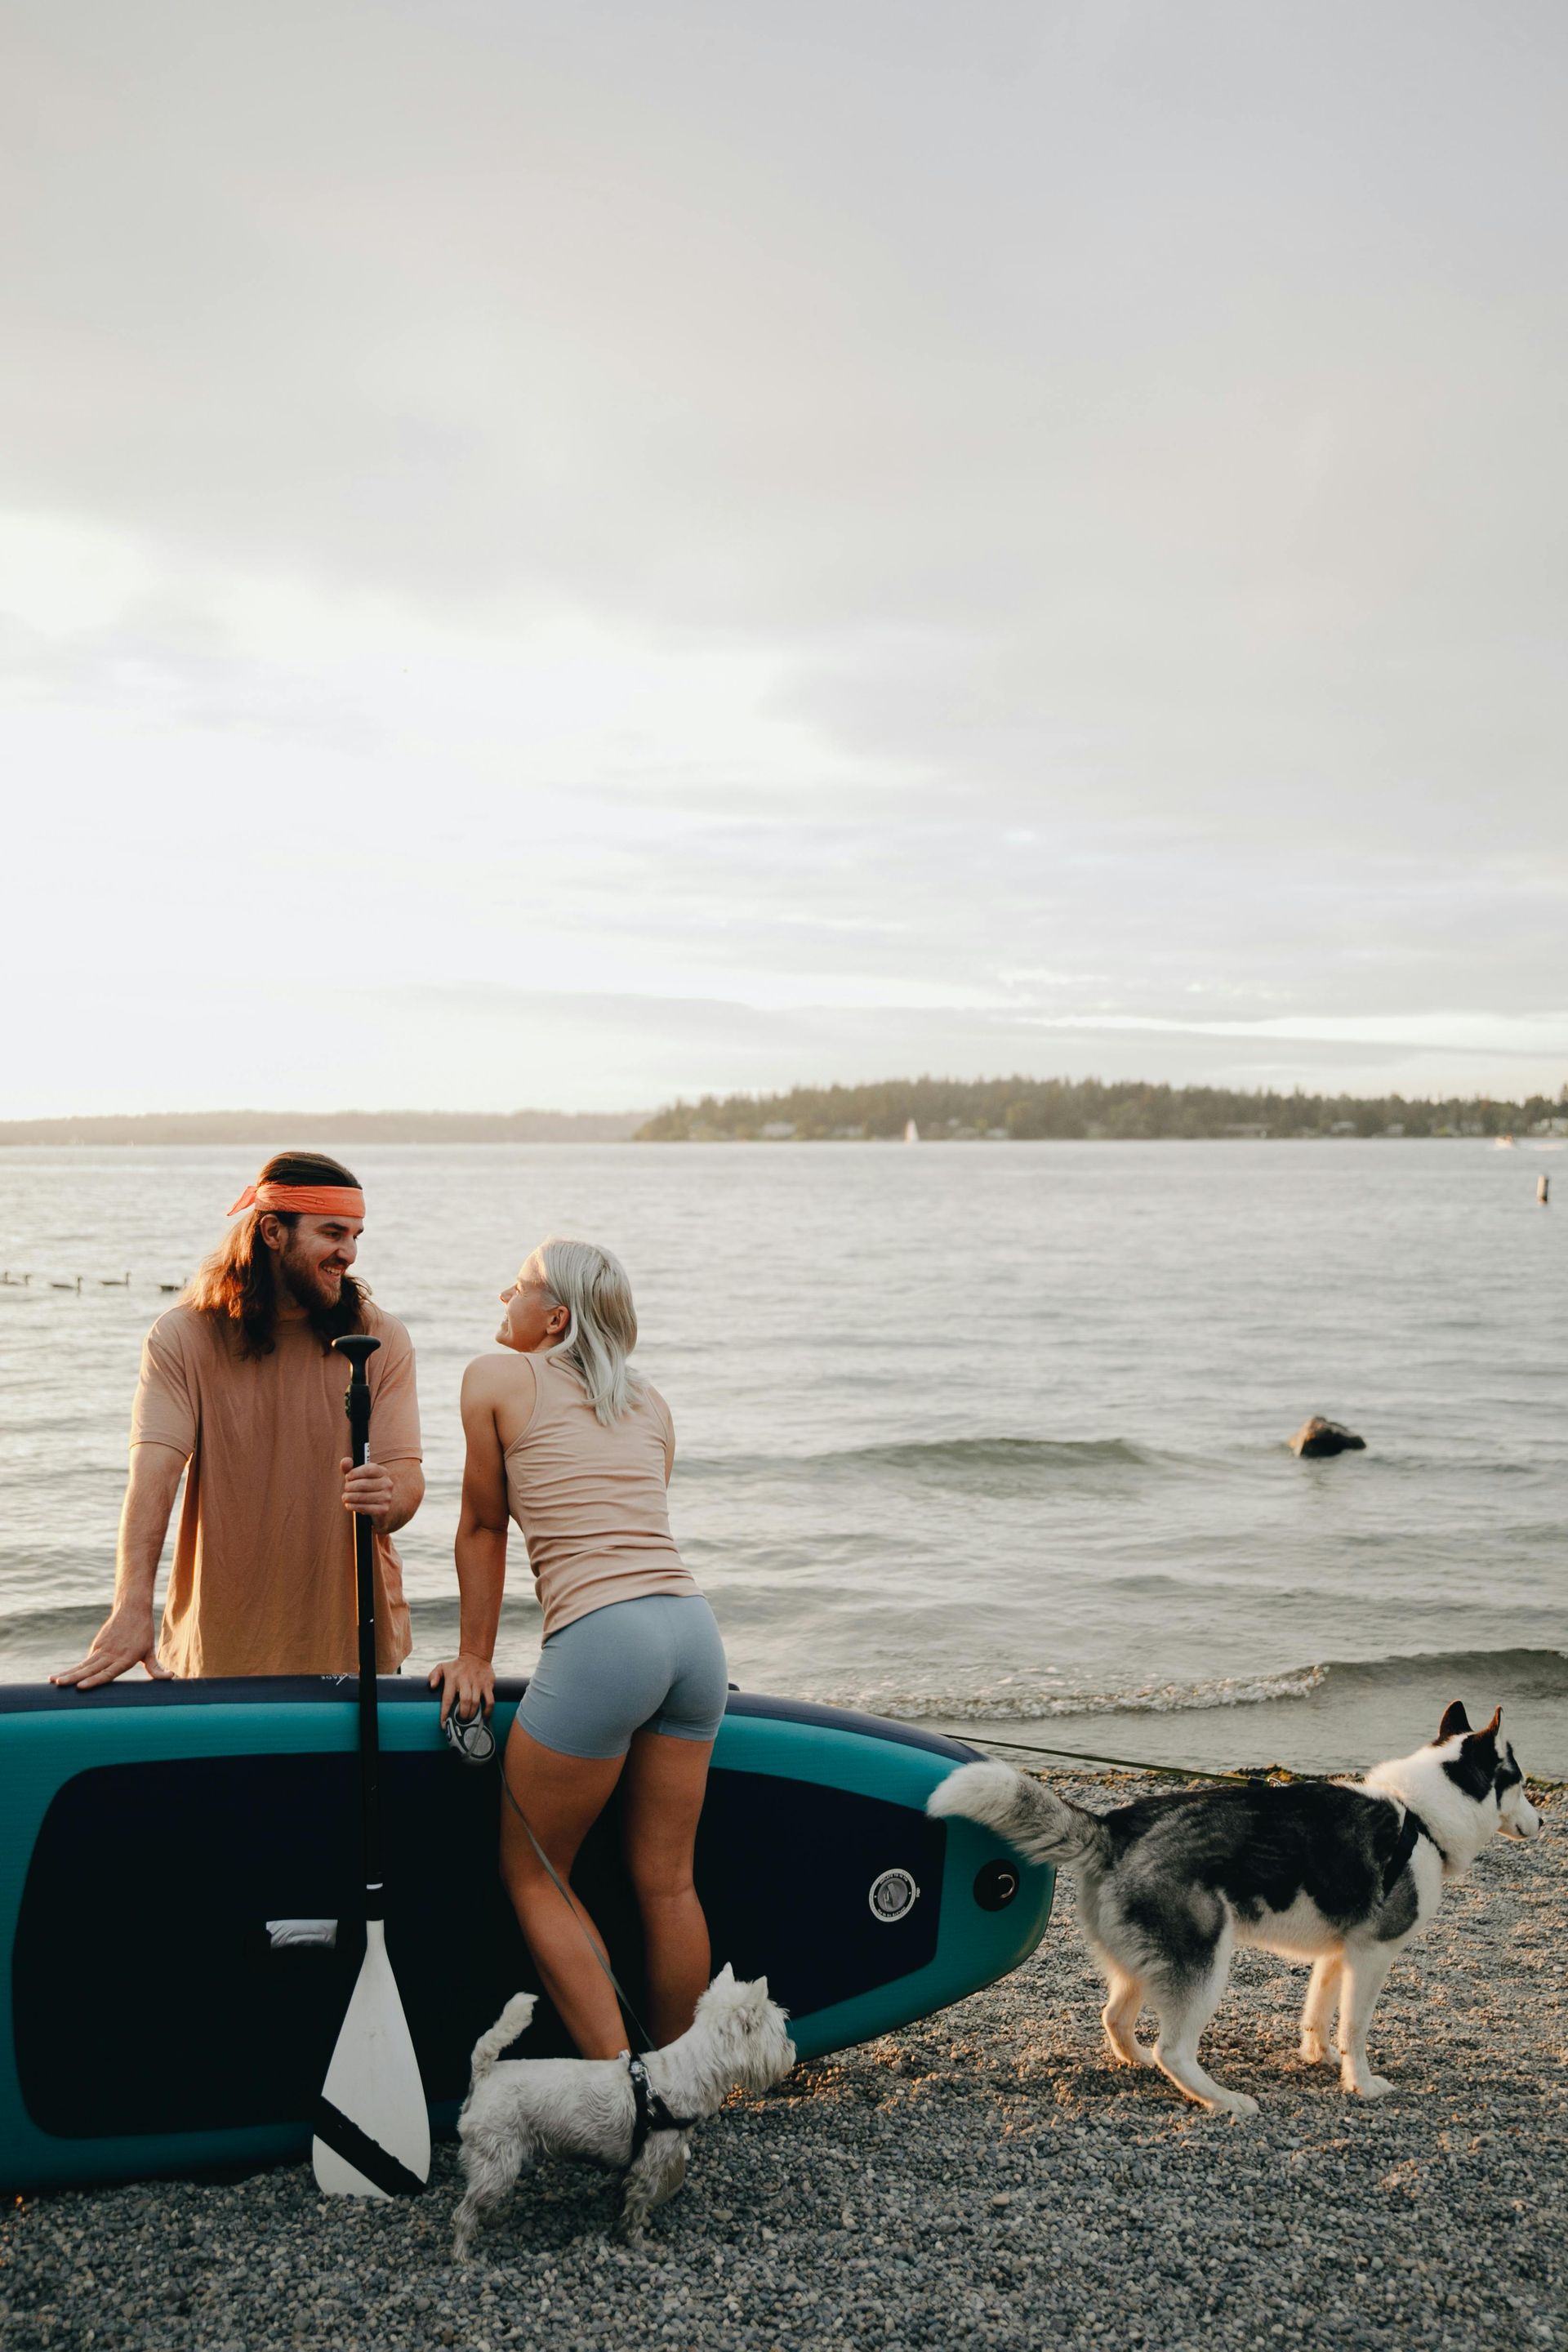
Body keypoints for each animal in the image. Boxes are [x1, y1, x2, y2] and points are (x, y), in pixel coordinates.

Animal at [453, 1957, 799, 2248]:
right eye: (780, 2033)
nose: (792, 2049)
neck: (691, 2069)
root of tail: (483, 2073)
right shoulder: (649, 2162)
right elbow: (636, 2205)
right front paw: (637, 2241)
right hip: (497, 2158)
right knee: (464, 2211)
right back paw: (463, 2255)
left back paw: (493, 2218)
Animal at [930, 1693, 1542, 2117]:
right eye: (1520, 1781)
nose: (1541, 1822)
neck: (1422, 1817)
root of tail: (1117, 1826)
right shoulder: (1372, 1957)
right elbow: (1355, 2029)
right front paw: (1360, 2084)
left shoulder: (1338, 1955)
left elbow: (1318, 2013)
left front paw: (1317, 2055)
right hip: (1204, 1964)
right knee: (1176, 2049)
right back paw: (1221, 2099)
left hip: (1144, 1964)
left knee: (1116, 2017)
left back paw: (1140, 2062)